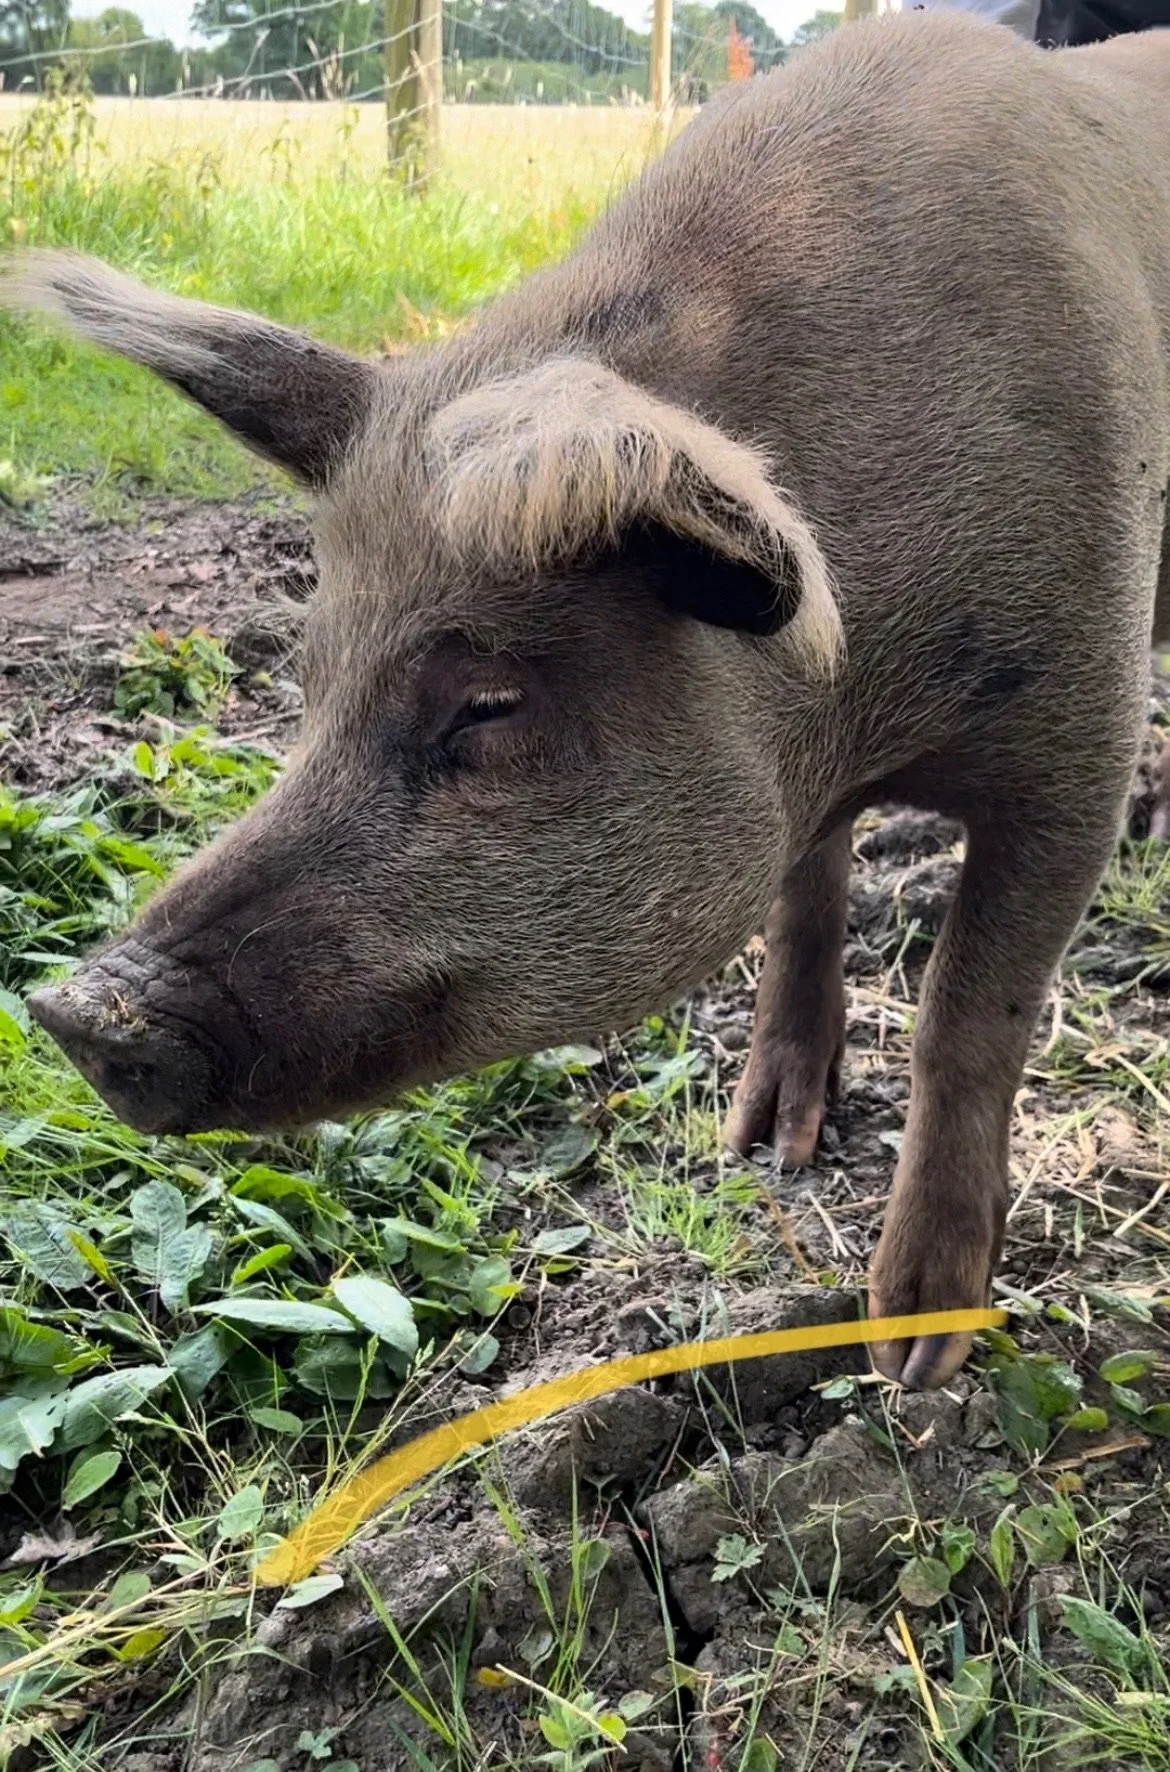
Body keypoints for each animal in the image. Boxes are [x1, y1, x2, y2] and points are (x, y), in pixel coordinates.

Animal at [5, 11, 1170, 1391]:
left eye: (487, 705)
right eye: (309, 681)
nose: (71, 1007)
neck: (860, 704)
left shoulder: (1081, 729)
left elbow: (966, 1012)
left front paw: (914, 1345)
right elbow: (803, 898)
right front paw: (760, 1146)